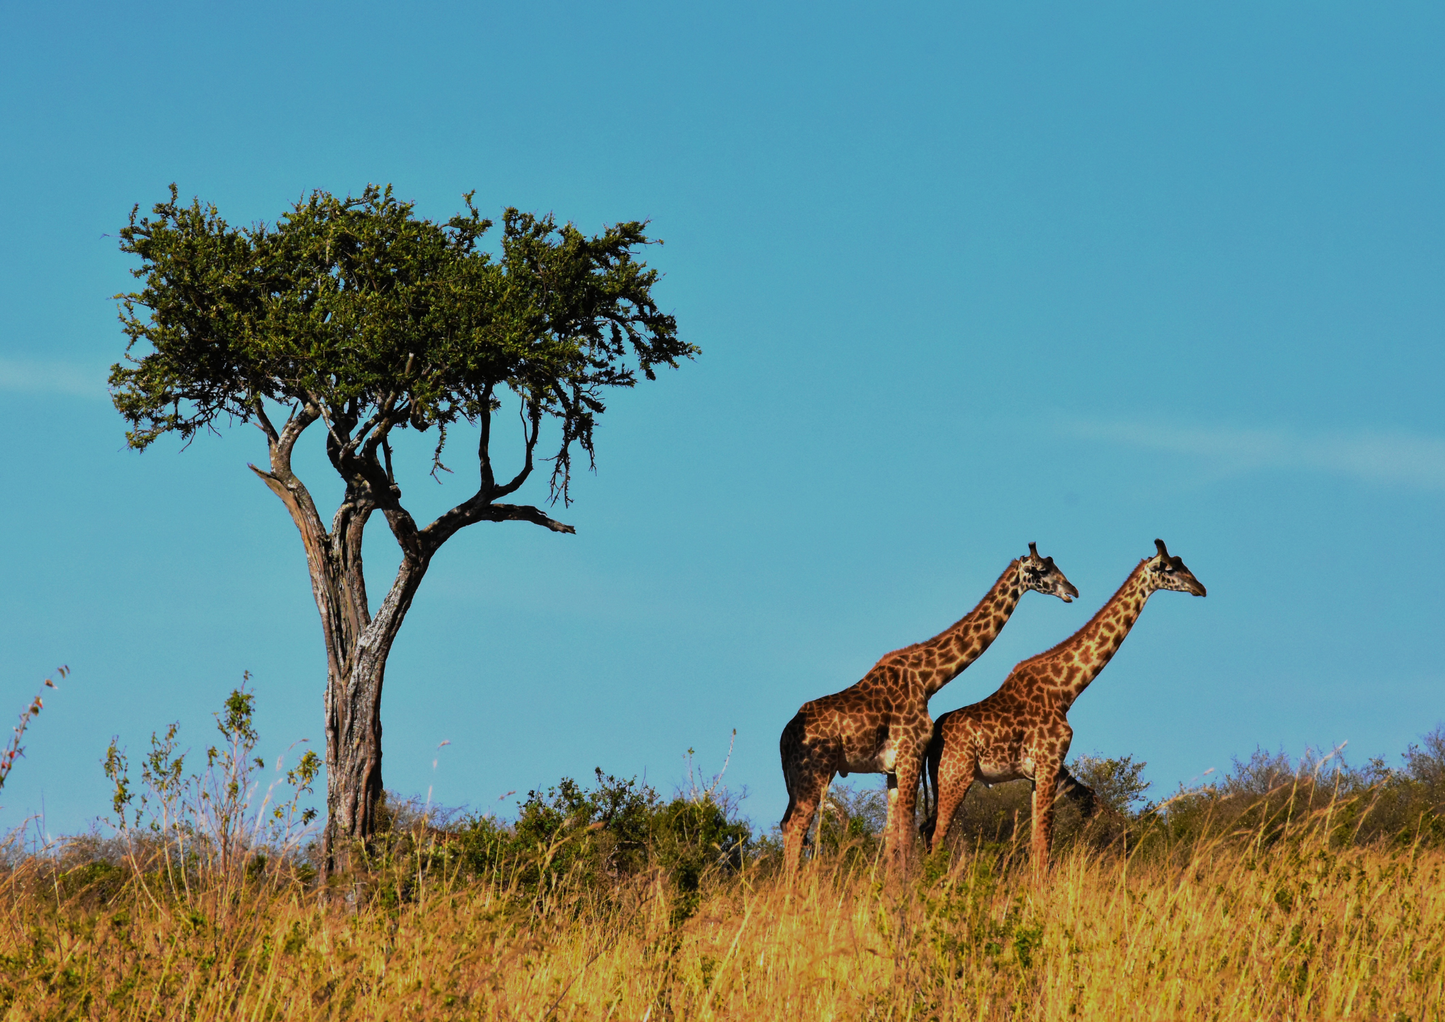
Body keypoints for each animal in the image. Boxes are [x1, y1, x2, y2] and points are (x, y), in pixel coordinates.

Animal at [779, 544, 1079, 879]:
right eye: (1041, 569)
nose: (1072, 591)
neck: (927, 679)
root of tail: (784, 738)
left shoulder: (893, 768)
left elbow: (893, 836)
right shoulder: (910, 755)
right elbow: (906, 834)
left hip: (797, 779)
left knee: (787, 824)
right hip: (816, 772)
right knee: (797, 826)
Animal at [921, 539, 1206, 880]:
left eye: (1184, 563)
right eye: (1169, 568)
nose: (1200, 587)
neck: (1066, 690)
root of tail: (934, 738)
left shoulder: (1039, 773)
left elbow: (1038, 840)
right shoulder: (1049, 763)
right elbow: (1044, 842)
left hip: (939, 779)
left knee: (926, 830)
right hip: (956, 775)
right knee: (937, 834)